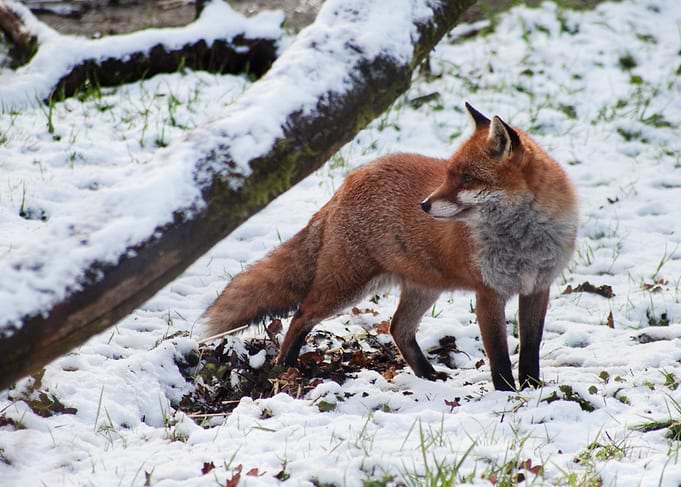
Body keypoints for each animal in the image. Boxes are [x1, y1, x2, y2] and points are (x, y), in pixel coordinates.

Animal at [202, 102, 578, 391]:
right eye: (449, 174)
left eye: (468, 179)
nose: (424, 205)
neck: (523, 242)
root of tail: (350, 180)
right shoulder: (488, 293)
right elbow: (498, 354)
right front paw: (507, 394)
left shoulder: (537, 288)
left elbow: (530, 346)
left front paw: (531, 387)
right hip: (345, 286)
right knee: (301, 314)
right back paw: (284, 369)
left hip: (423, 287)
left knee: (399, 328)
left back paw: (428, 376)